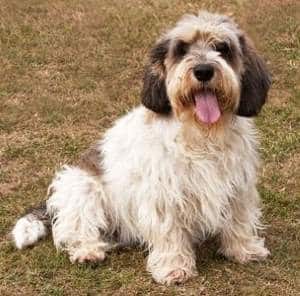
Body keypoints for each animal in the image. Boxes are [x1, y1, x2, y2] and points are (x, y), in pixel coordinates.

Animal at [11, 11, 270, 284]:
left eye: (222, 48)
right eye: (181, 50)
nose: (203, 70)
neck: (200, 133)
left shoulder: (237, 185)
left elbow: (239, 219)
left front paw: (244, 249)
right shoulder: (163, 194)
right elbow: (169, 231)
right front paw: (173, 266)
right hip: (82, 188)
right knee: (74, 230)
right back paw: (87, 251)